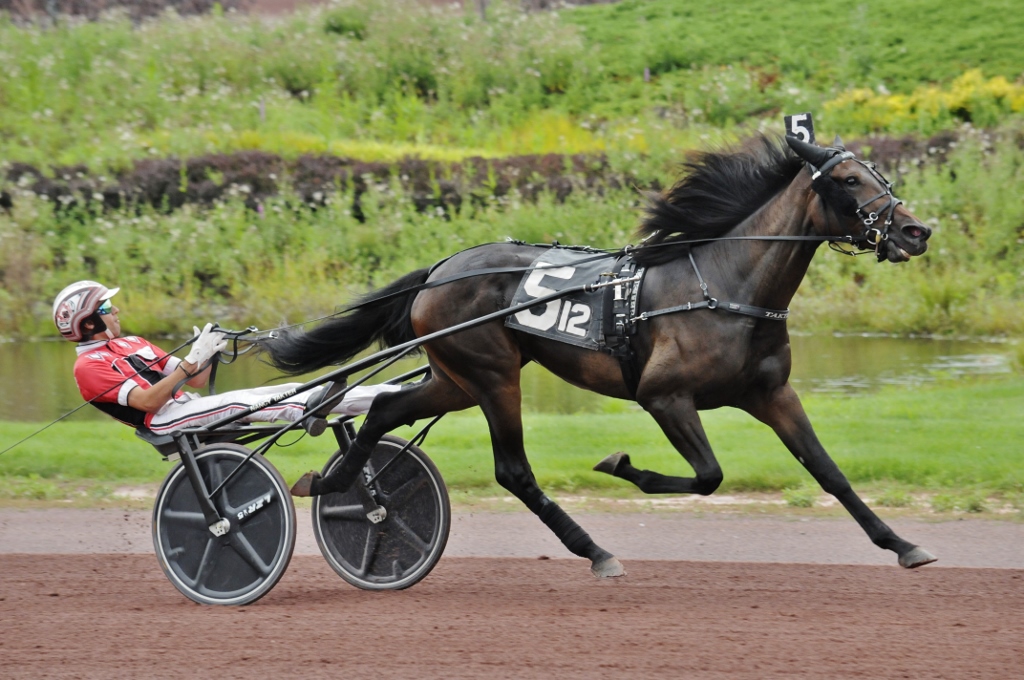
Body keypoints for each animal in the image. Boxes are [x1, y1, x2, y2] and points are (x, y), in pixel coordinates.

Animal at [261, 133, 936, 577]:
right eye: (849, 181)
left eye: (880, 174)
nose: (915, 230)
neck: (725, 286)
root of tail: (439, 270)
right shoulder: (664, 396)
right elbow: (709, 476)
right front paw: (621, 465)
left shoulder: (771, 393)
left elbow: (828, 471)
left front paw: (903, 544)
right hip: (492, 375)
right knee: (513, 471)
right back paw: (596, 551)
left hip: (457, 378)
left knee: (383, 411)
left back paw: (333, 481)